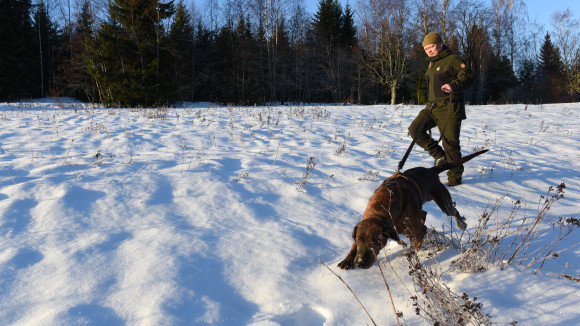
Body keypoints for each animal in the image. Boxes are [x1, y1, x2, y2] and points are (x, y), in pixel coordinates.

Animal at [338, 149, 488, 268]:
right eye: (358, 241)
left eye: (374, 243)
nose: (359, 263)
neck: (380, 210)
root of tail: (430, 170)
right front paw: (347, 259)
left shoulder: (418, 230)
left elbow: (416, 242)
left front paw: (411, 255)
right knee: (424, 212)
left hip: (443, 201)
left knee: (453, 211)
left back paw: (461, 224)